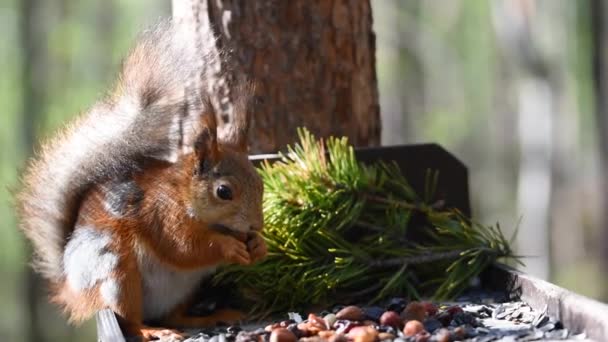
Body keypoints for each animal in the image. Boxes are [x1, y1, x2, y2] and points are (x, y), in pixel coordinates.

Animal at [16, 20, 266, 340]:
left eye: (260, 183)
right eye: (224, 191)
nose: (256, 225)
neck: (182, 195)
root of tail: (72, 286)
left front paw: (259, 246)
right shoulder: (161, 214)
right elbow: (185, 246)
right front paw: (227, 247)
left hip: (183, 289)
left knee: (174, 315)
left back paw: (210, 317)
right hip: (115, 271)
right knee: (129, 318)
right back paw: (152, 330)